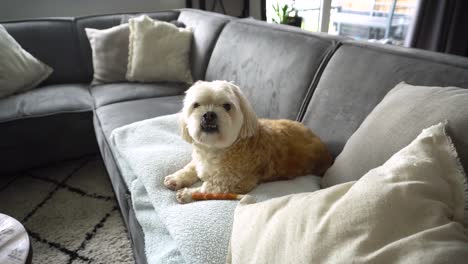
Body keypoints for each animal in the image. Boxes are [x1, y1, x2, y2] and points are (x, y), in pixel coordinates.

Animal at [165, 79, 332, 203]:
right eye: (196, 105)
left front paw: (187, 193)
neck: (216, 148)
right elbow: (190, 168)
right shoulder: (199, 162)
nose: (209, 115)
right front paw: (176, 178)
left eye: (227, 106)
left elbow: (209, 188)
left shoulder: (233, 182)